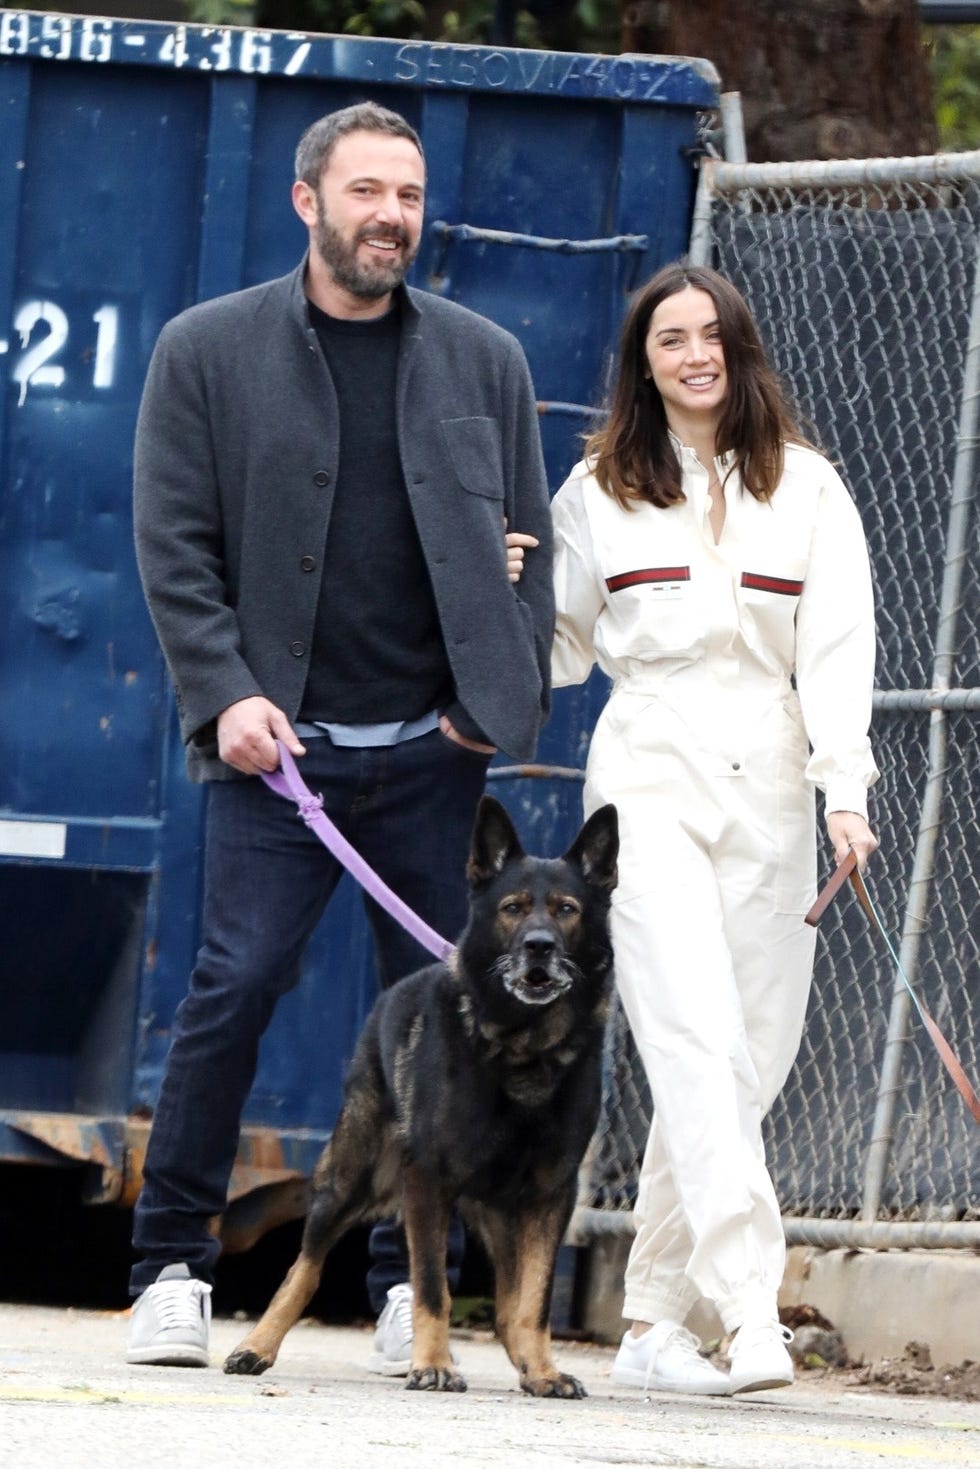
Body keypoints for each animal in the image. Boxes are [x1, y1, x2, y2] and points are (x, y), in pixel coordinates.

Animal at [224, 799, 617, 1392]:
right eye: (513, 908)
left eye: (567, 909)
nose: (539, 947)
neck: (522, 1047)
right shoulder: (427, 1180)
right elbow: (432, 1286)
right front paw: (432, 1363)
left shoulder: (551, 1195)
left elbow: (535, 1298)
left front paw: (544, 1371)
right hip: (353, 1179)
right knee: (304, 1268)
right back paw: (256, 1345)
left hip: (499, 1212)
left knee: (508, 1306)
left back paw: (527, 1363)